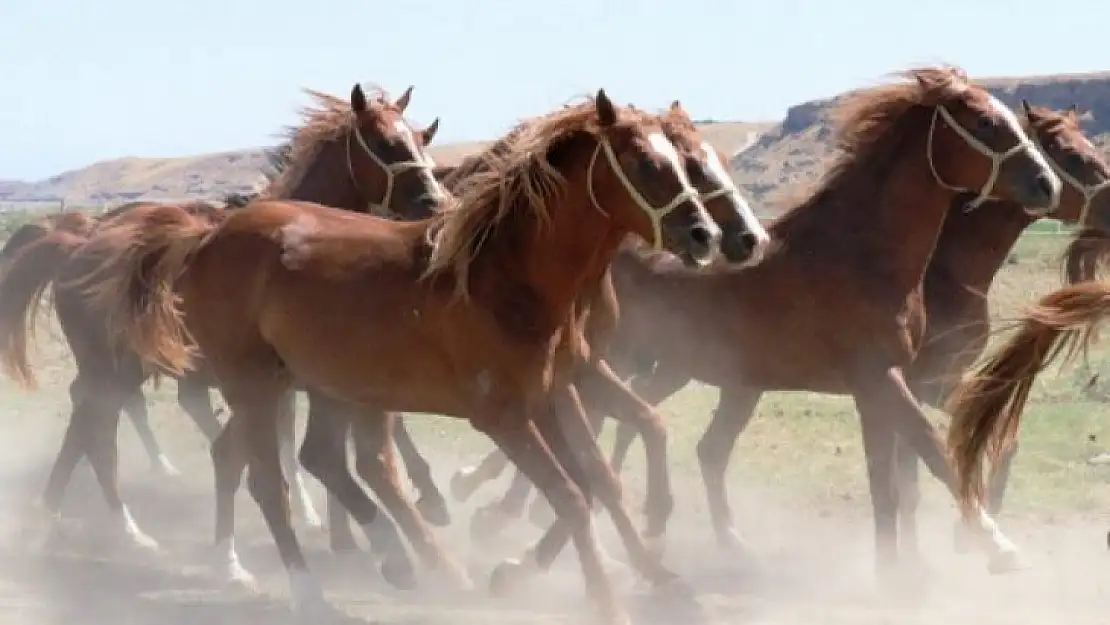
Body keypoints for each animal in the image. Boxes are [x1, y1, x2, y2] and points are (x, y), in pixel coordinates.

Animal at [0, 82, 446, 552]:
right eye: (384, 142)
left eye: (422, 139)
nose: (434, 202)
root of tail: (78, 246)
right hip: (112, 369)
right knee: (96, 430)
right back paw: (123, 527)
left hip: (125, 369)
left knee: (90, 423)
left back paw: (63, 509)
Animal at [71, 91, 728, 625]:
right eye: (648, 165)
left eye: (683, 162)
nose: (706, 236)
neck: (505, 280)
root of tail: (208, 237)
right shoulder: (503, 417)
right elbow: (570, 497)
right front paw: (604, 602)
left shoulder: (555, 394)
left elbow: (598, 482)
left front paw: (652, 578)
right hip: (252, 386)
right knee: (262, 478)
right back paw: (309, 591)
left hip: (319, 384)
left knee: (314, 459)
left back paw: (393, 559)